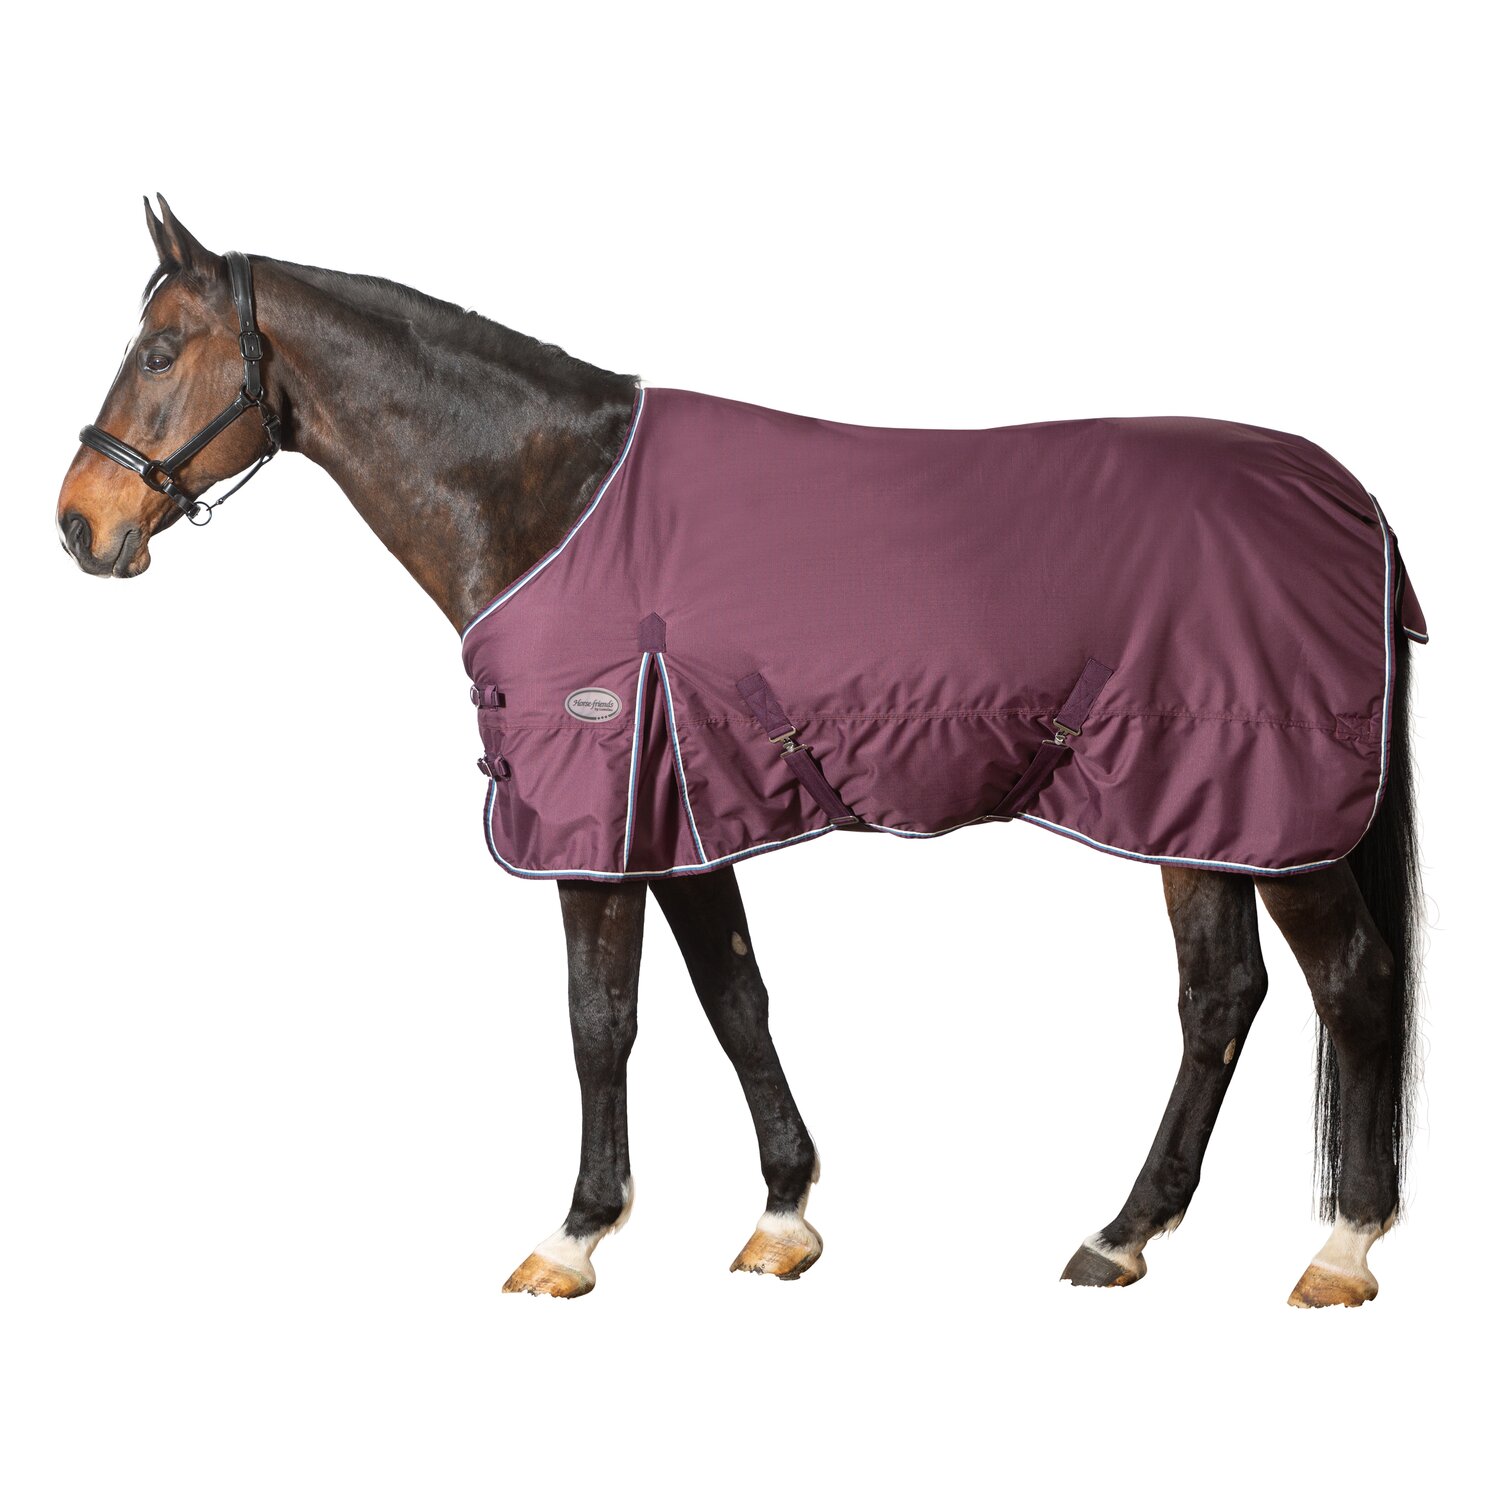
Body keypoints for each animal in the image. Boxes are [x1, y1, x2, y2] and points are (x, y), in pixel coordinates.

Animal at [56, 197, 1423, 1306]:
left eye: (159, 349)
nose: (79, 522)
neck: (554, 498)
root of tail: (1348, 499)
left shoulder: (598, 823)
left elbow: (599, 1020)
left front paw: (574, 1236)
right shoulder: (683, 817)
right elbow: (734, 999)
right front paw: (782, 1216)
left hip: (1275, 813)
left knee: (1354, 984)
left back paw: (1343, 1249)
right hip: (1198, 811)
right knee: (1220, 1000)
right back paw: (1122, 1236)